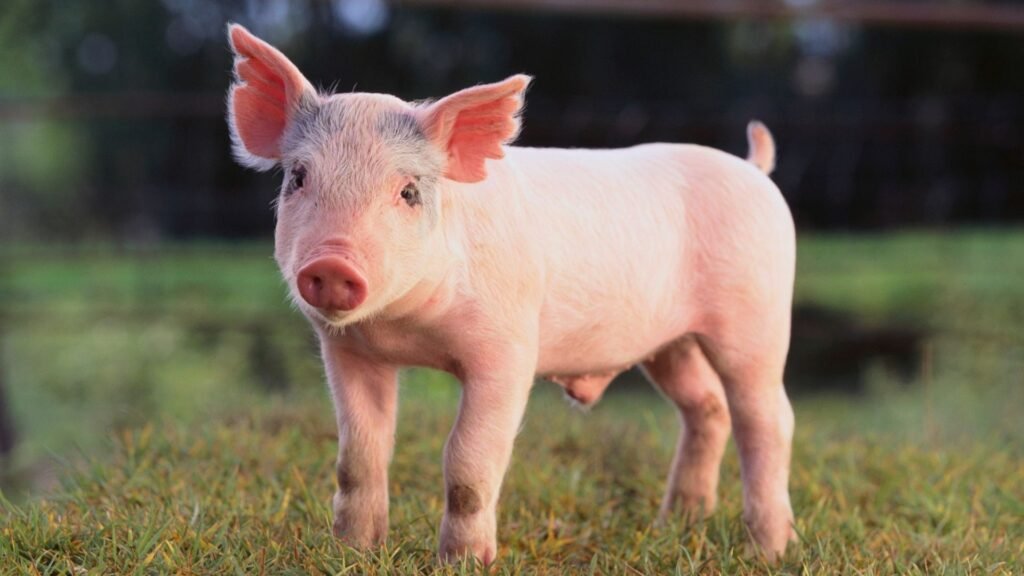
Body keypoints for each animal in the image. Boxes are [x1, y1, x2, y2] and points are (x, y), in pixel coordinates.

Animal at [226, 24, 797, 564]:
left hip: (757, 315)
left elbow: (467, 460)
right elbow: (358, 456)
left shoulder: (508, 350)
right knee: (707, 407)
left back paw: (768, 550)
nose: (331, 263)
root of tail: (754, 170)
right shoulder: (348, 351)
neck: (408, 328)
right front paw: (352, 552)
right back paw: (677, 523)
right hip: (670, 343)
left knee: (766, 418)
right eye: (298, 178)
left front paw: (463, 562)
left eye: (408, 192)